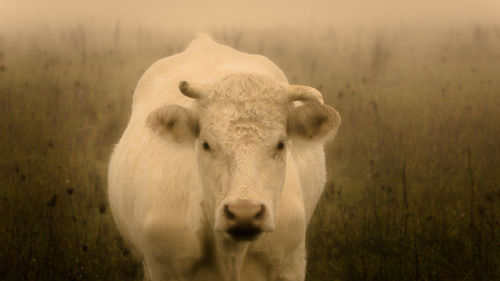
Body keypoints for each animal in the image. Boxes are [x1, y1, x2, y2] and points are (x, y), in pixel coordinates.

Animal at [108, 33, 340, 280]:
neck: (230, 254)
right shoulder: (161, 267)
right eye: (206, 144)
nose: (244, 213)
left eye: (280, 144)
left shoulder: (290, 264)